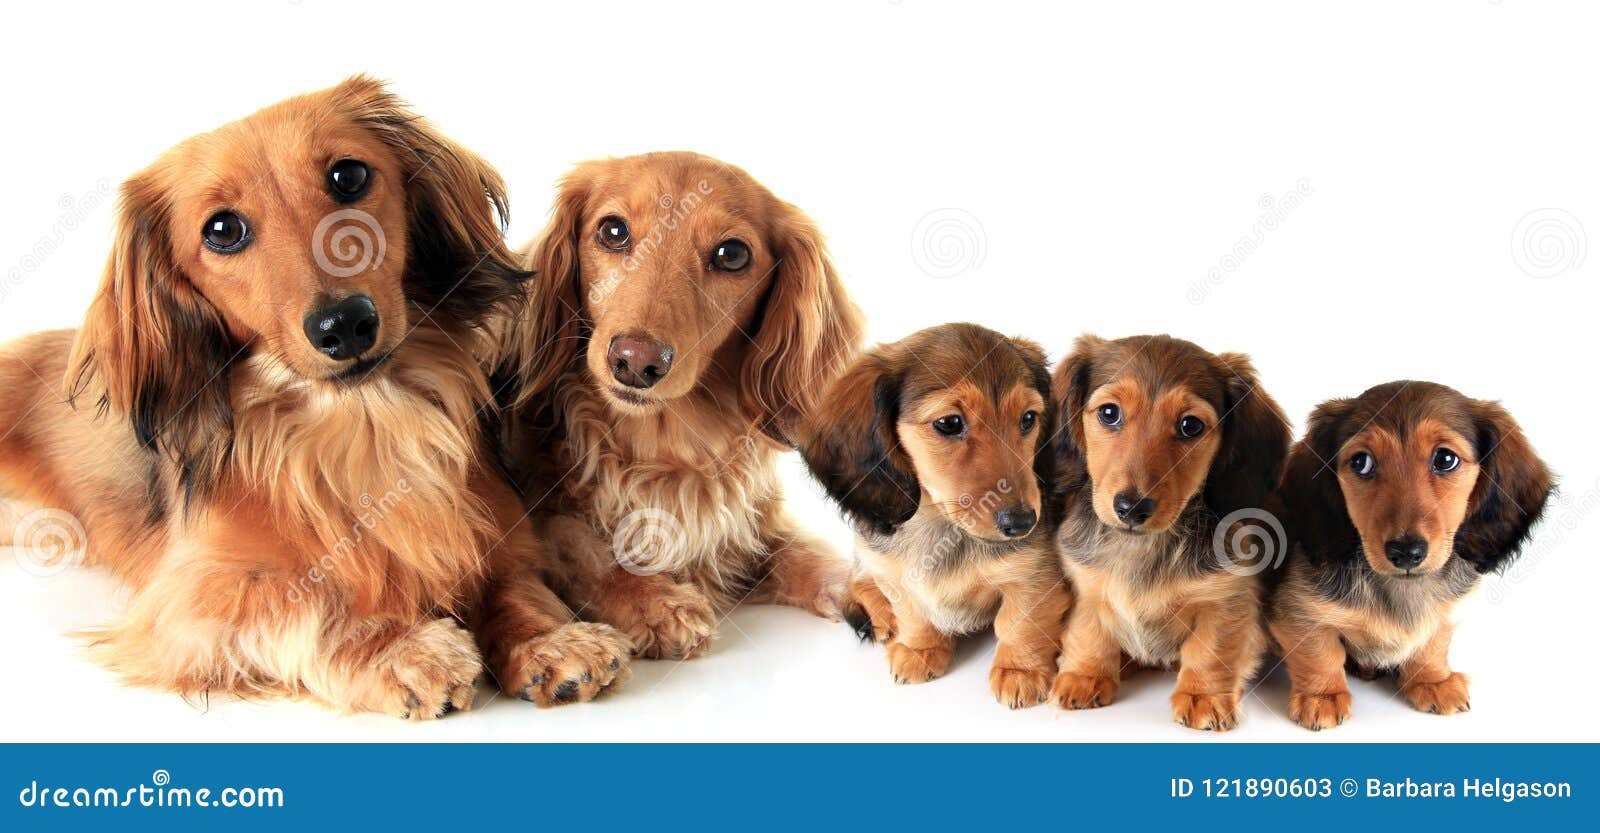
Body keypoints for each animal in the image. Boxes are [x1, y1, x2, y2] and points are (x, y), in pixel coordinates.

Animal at [0, 76, 630, 713]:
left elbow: (514, 583)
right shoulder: (194, 600)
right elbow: (311, 600)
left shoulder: (502, 528)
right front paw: (401, 648)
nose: (344, 323)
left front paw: (549, 640)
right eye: (221, 230)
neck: (366, 421)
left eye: (348, 176)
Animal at [492, 152, 864, 661]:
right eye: (613, 231)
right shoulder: (541, 513)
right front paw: (653, 600)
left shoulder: (752, 522)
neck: (663, 447)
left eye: (732, 255)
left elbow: (804, 551)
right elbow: (583, 548)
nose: (635, 361)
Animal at [793, 324, 1068, 706]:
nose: (1023, 523)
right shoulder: (894, 573)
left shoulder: (1033, 572)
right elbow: (912, 612)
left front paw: (1020, 670)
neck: (941, 526)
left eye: (1028, 419)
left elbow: (1020, 620)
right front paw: (918, 649)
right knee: (858, 581)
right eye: (949, 423)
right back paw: (881, 616)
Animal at [1049, 330, 1286, 729]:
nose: (1131, 507)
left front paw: (1203, 695)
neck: (1144, 547)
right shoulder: (1085, 585)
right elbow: (1089, 631)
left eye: (1190, 426)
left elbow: (1212, 649)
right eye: (1109, 414)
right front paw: (1084, 675)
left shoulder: (1227, 599)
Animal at [1260, 382, 1548, 729]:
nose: (1406, 552)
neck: (1400, 588)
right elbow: (1319, 651)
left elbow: (1432, 644)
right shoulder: (1299, 612)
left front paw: (1433, 681)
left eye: (1446, 459)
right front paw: (1322, 696)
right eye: (1361, 462)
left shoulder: (1442, 615)